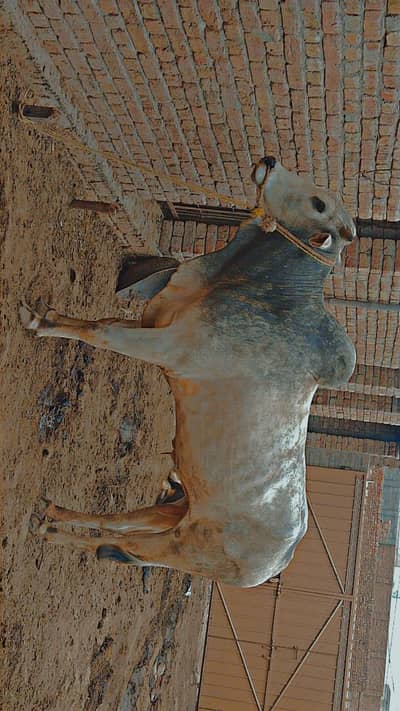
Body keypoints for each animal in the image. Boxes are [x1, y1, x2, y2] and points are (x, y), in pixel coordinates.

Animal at [21, 156, 356, 588]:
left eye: (318, 204)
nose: (269, 161)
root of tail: (277, 562)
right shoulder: (150, 325)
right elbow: (99, 321)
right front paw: (47, 315)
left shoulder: (165, 347)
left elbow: (98, 332)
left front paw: (39, 323)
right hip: (179, 509)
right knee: (120, 523)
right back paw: (55, 513)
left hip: (180, 546)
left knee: (114, 544)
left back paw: (51, 529)